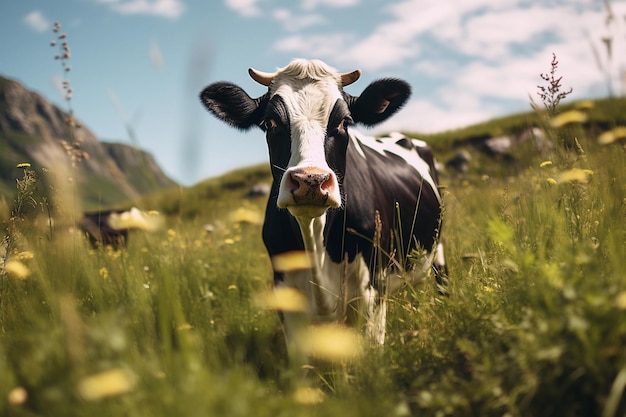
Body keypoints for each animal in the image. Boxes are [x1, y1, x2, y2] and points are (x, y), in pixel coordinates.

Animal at [200, 57, 444, 354]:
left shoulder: (372, 290)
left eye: (344, 122)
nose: (310, 180)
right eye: (269, 122)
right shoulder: (286, 296)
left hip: (438, 249)